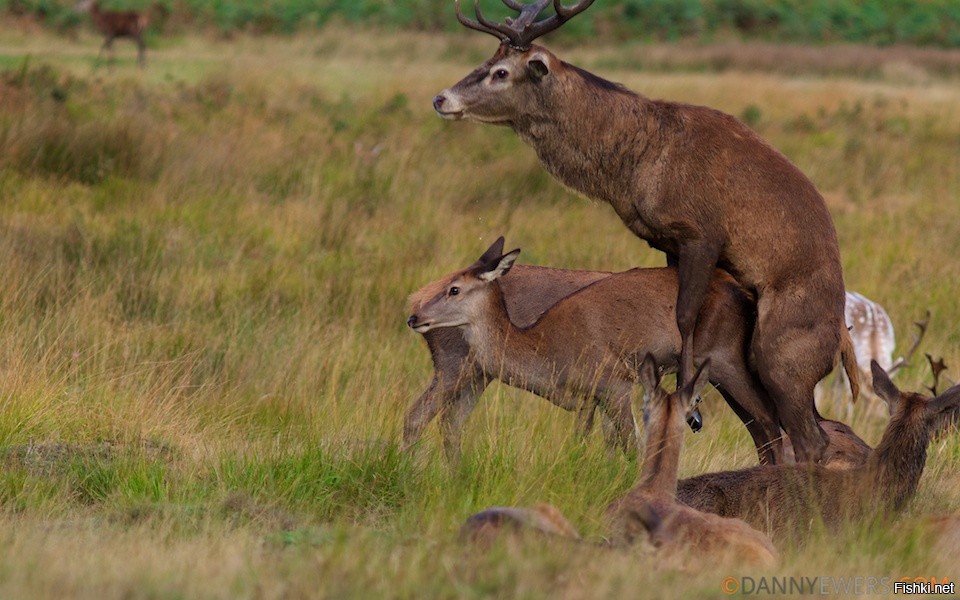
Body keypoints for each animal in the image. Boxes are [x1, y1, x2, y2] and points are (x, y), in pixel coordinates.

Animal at [404, 237, 864, 462]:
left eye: (456, 289)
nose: (415, 318)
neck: (543, 347)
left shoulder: (614, 384)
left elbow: (629, 446)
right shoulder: (592, 399)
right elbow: (601, 445)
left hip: (725, 361)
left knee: (770, 422)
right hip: (466, 374)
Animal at [438, 0, 852, 464]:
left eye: (501, 71)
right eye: (487, 59)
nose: (441, 98)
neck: (632, 161)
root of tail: (840, 343)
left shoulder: (701, 233)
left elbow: (685, 313)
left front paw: (689, 401)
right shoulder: (666, 241)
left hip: (782, 354)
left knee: (810, 437)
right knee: (769, 429)